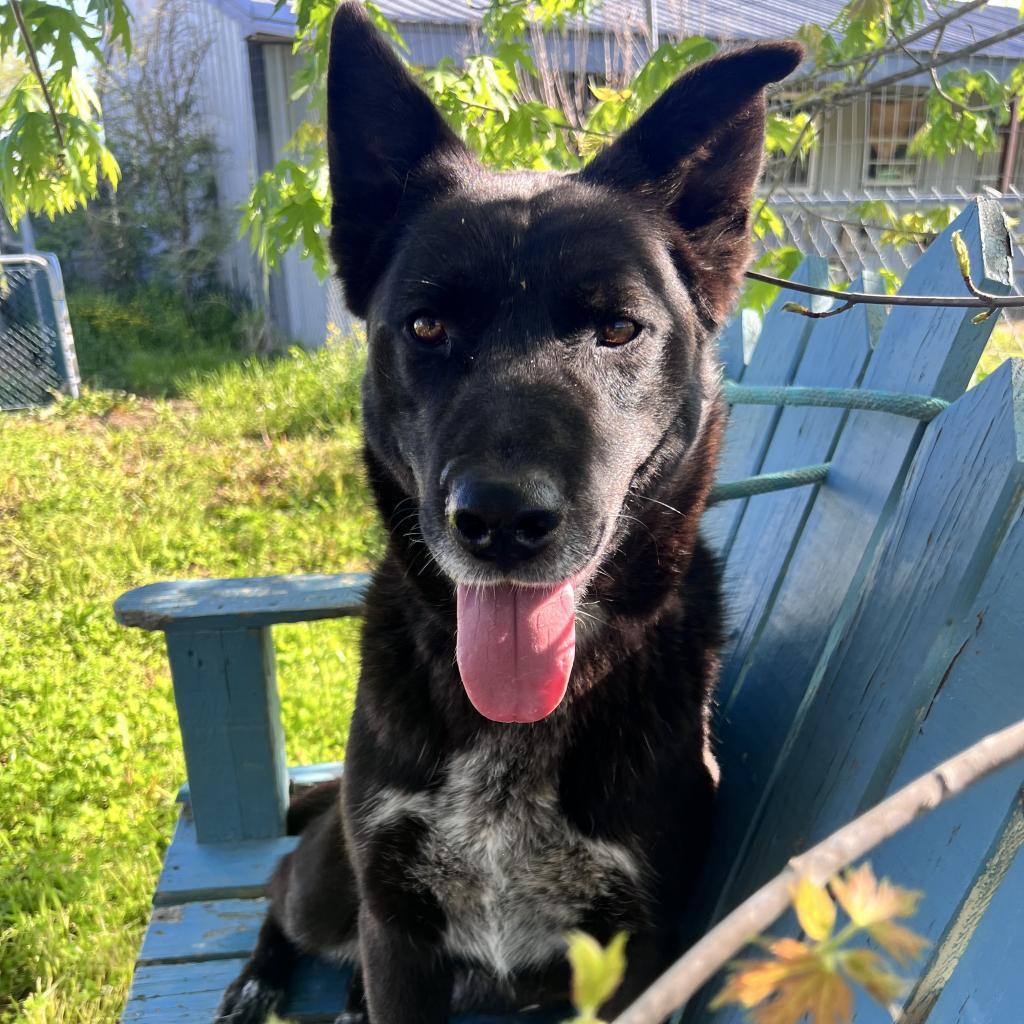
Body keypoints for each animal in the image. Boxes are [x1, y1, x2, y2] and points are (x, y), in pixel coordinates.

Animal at [218, 6, 798, 1015]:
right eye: (426, 327)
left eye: (618, 327)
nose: (498, 522)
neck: (509, 735)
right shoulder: (395, 925)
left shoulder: (636, 948)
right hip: (334, 881)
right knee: (279, 894)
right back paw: (258, 982)